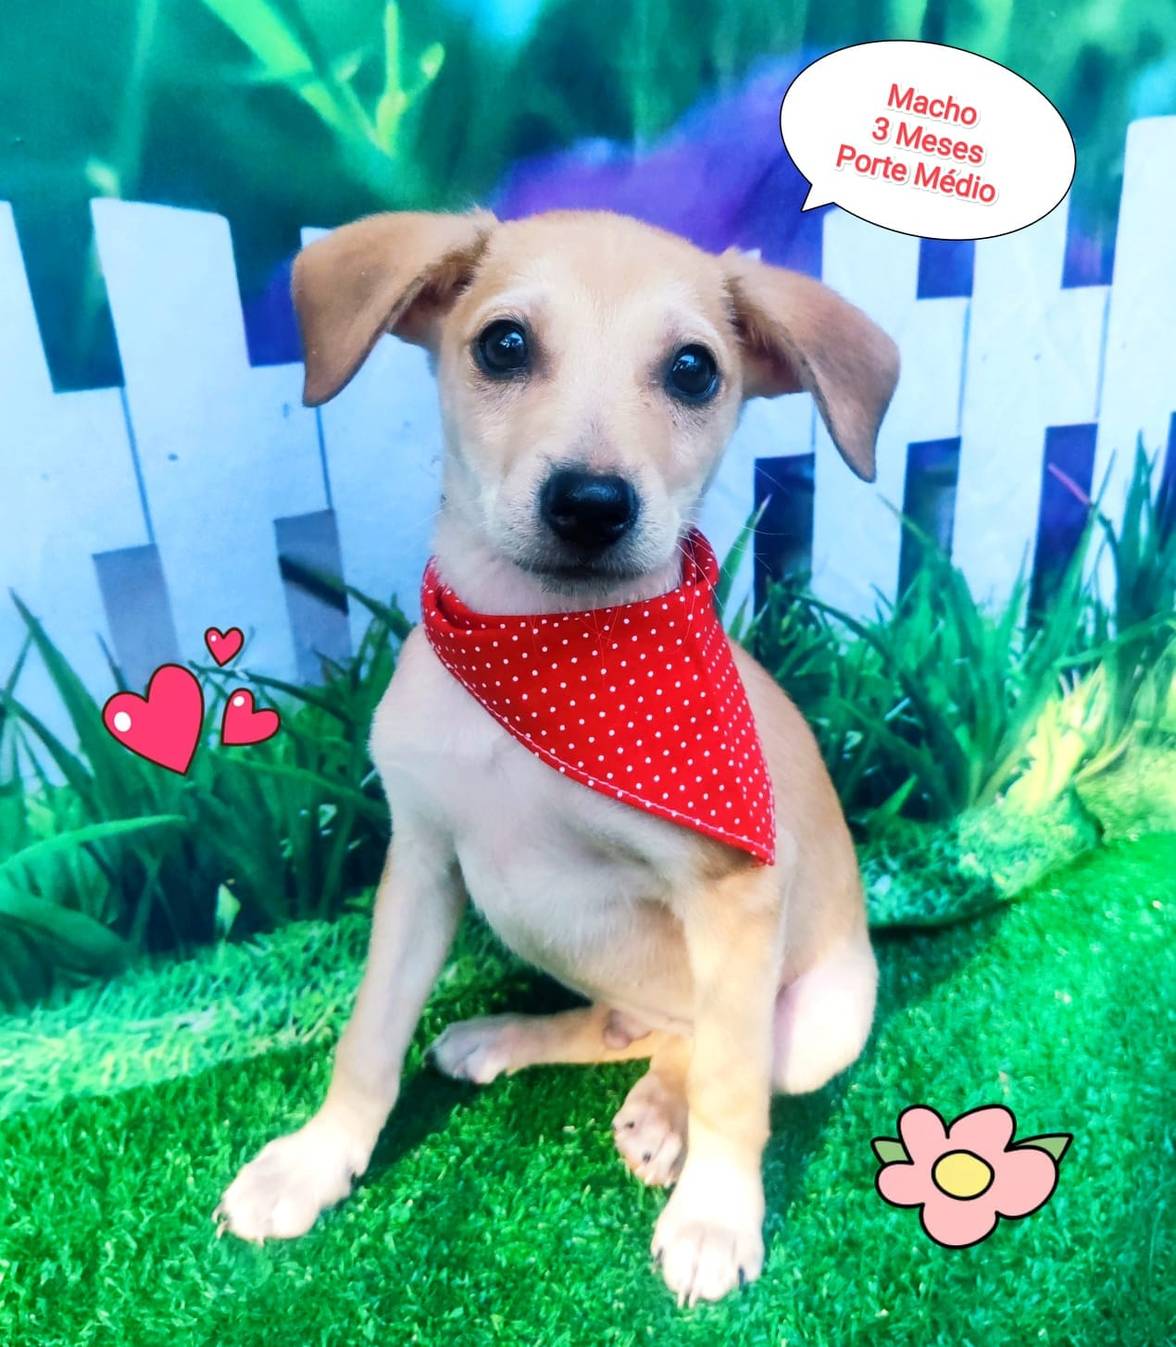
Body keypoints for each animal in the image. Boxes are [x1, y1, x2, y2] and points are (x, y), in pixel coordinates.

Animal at [216, 209, 898, 1306]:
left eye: (695, 371)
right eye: (502, 345)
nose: (590, 504)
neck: (544, 657)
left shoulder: (736, 894)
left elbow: (735, 1088)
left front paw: (716, 1216)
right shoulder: (421, 862)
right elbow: (368, 1038)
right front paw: (313, 1163)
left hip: (824, 1016)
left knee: (717, 1044)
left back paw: (663, 1112)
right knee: (636, 1024)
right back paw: (506, 1039)